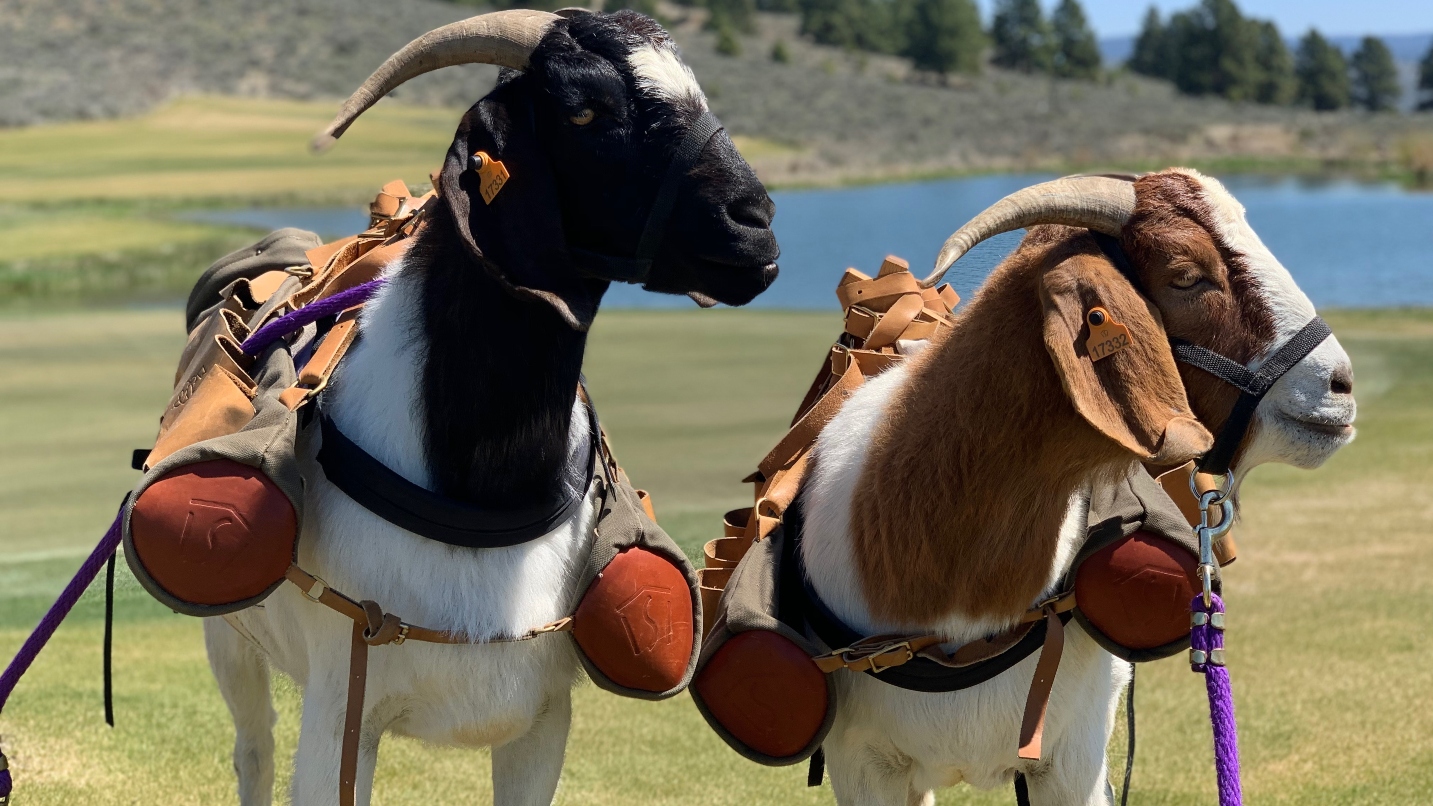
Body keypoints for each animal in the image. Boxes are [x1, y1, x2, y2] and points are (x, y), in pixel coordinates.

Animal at [203, 9, 779, 806]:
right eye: (585, 110)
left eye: (696, 89)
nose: (756, 223)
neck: (478, 483)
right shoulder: (339, 710)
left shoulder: (543, 718)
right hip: (229, 641)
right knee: (252, 748)